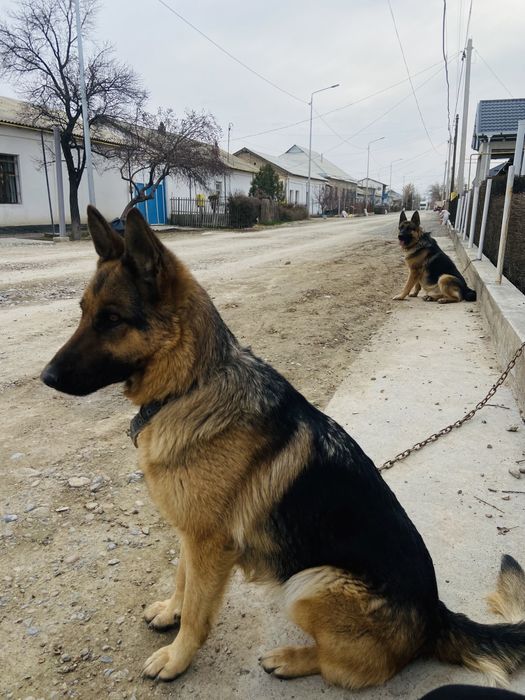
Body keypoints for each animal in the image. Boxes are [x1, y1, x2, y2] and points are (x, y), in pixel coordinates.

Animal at [41, 206, 525, 688]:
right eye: (83, 312)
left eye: (112, 320)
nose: (45, 377)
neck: (192, 384)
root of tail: (435, 617)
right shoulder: (192, 533)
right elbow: (182, 580)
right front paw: (170, 611)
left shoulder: (210, 544)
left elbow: (197, 610)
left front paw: (177, 658)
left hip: (309, 582)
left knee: (358, 667)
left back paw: (292, 659)